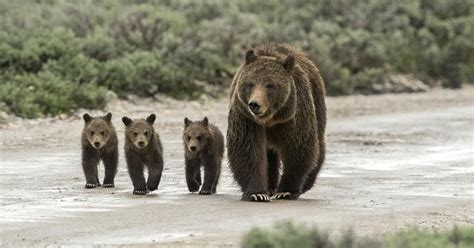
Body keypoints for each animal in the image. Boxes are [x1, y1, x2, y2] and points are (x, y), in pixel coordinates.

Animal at [227, 43, 326, 202]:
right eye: (251, 83)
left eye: (270, 85)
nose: (254, 104)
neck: (270, 119)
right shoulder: (246, 118)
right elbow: (247, 150)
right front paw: (257, 193)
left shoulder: (293, 116)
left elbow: (298, 147)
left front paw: (286, 191)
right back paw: (270, 187)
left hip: (317, 103)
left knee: (318, 145)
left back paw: (306, 183)